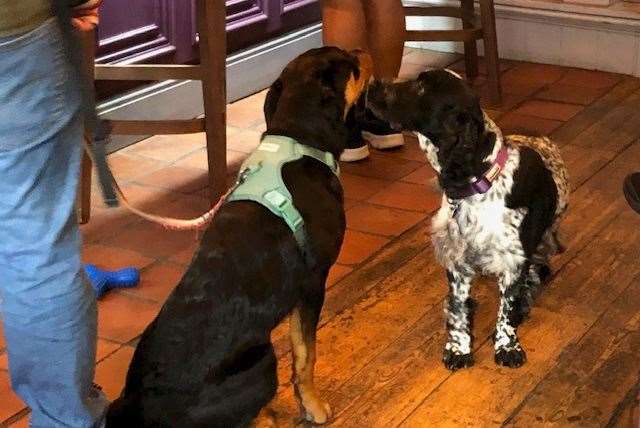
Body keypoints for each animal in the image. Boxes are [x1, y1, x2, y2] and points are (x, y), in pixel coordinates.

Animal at [107, 45, 372, 426]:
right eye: (350, 64)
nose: (362, 50)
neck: (296, 140)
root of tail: (139, 405)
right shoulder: (312, 284)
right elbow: (306, 353)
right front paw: (314, 406)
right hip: (262, 361)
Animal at [364, 69, 568, 368]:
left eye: (421, 86)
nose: (371, 84)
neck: (480, 185)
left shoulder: (514, 259)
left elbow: (506, 308)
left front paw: (507, 346)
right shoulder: (455, 257)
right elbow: (458, 306)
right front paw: (458, 347)